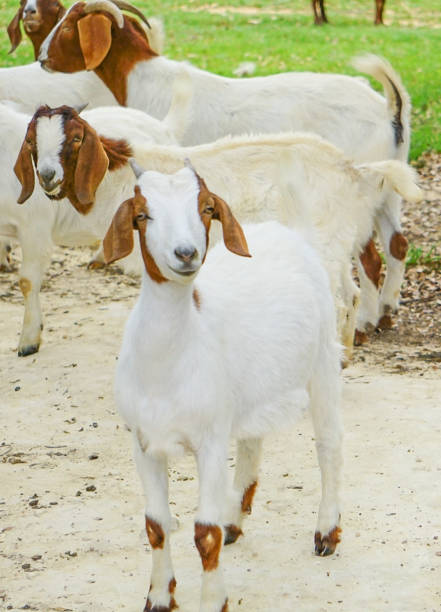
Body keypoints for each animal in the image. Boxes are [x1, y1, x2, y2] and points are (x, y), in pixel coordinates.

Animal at [37, 0, 410, 340]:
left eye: (68, 27)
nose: (41, 58)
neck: (143, 79)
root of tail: (390, 111)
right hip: (386, 191)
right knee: (396, 244)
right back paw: (384, 313)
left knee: (367, 257)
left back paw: (364, 323)